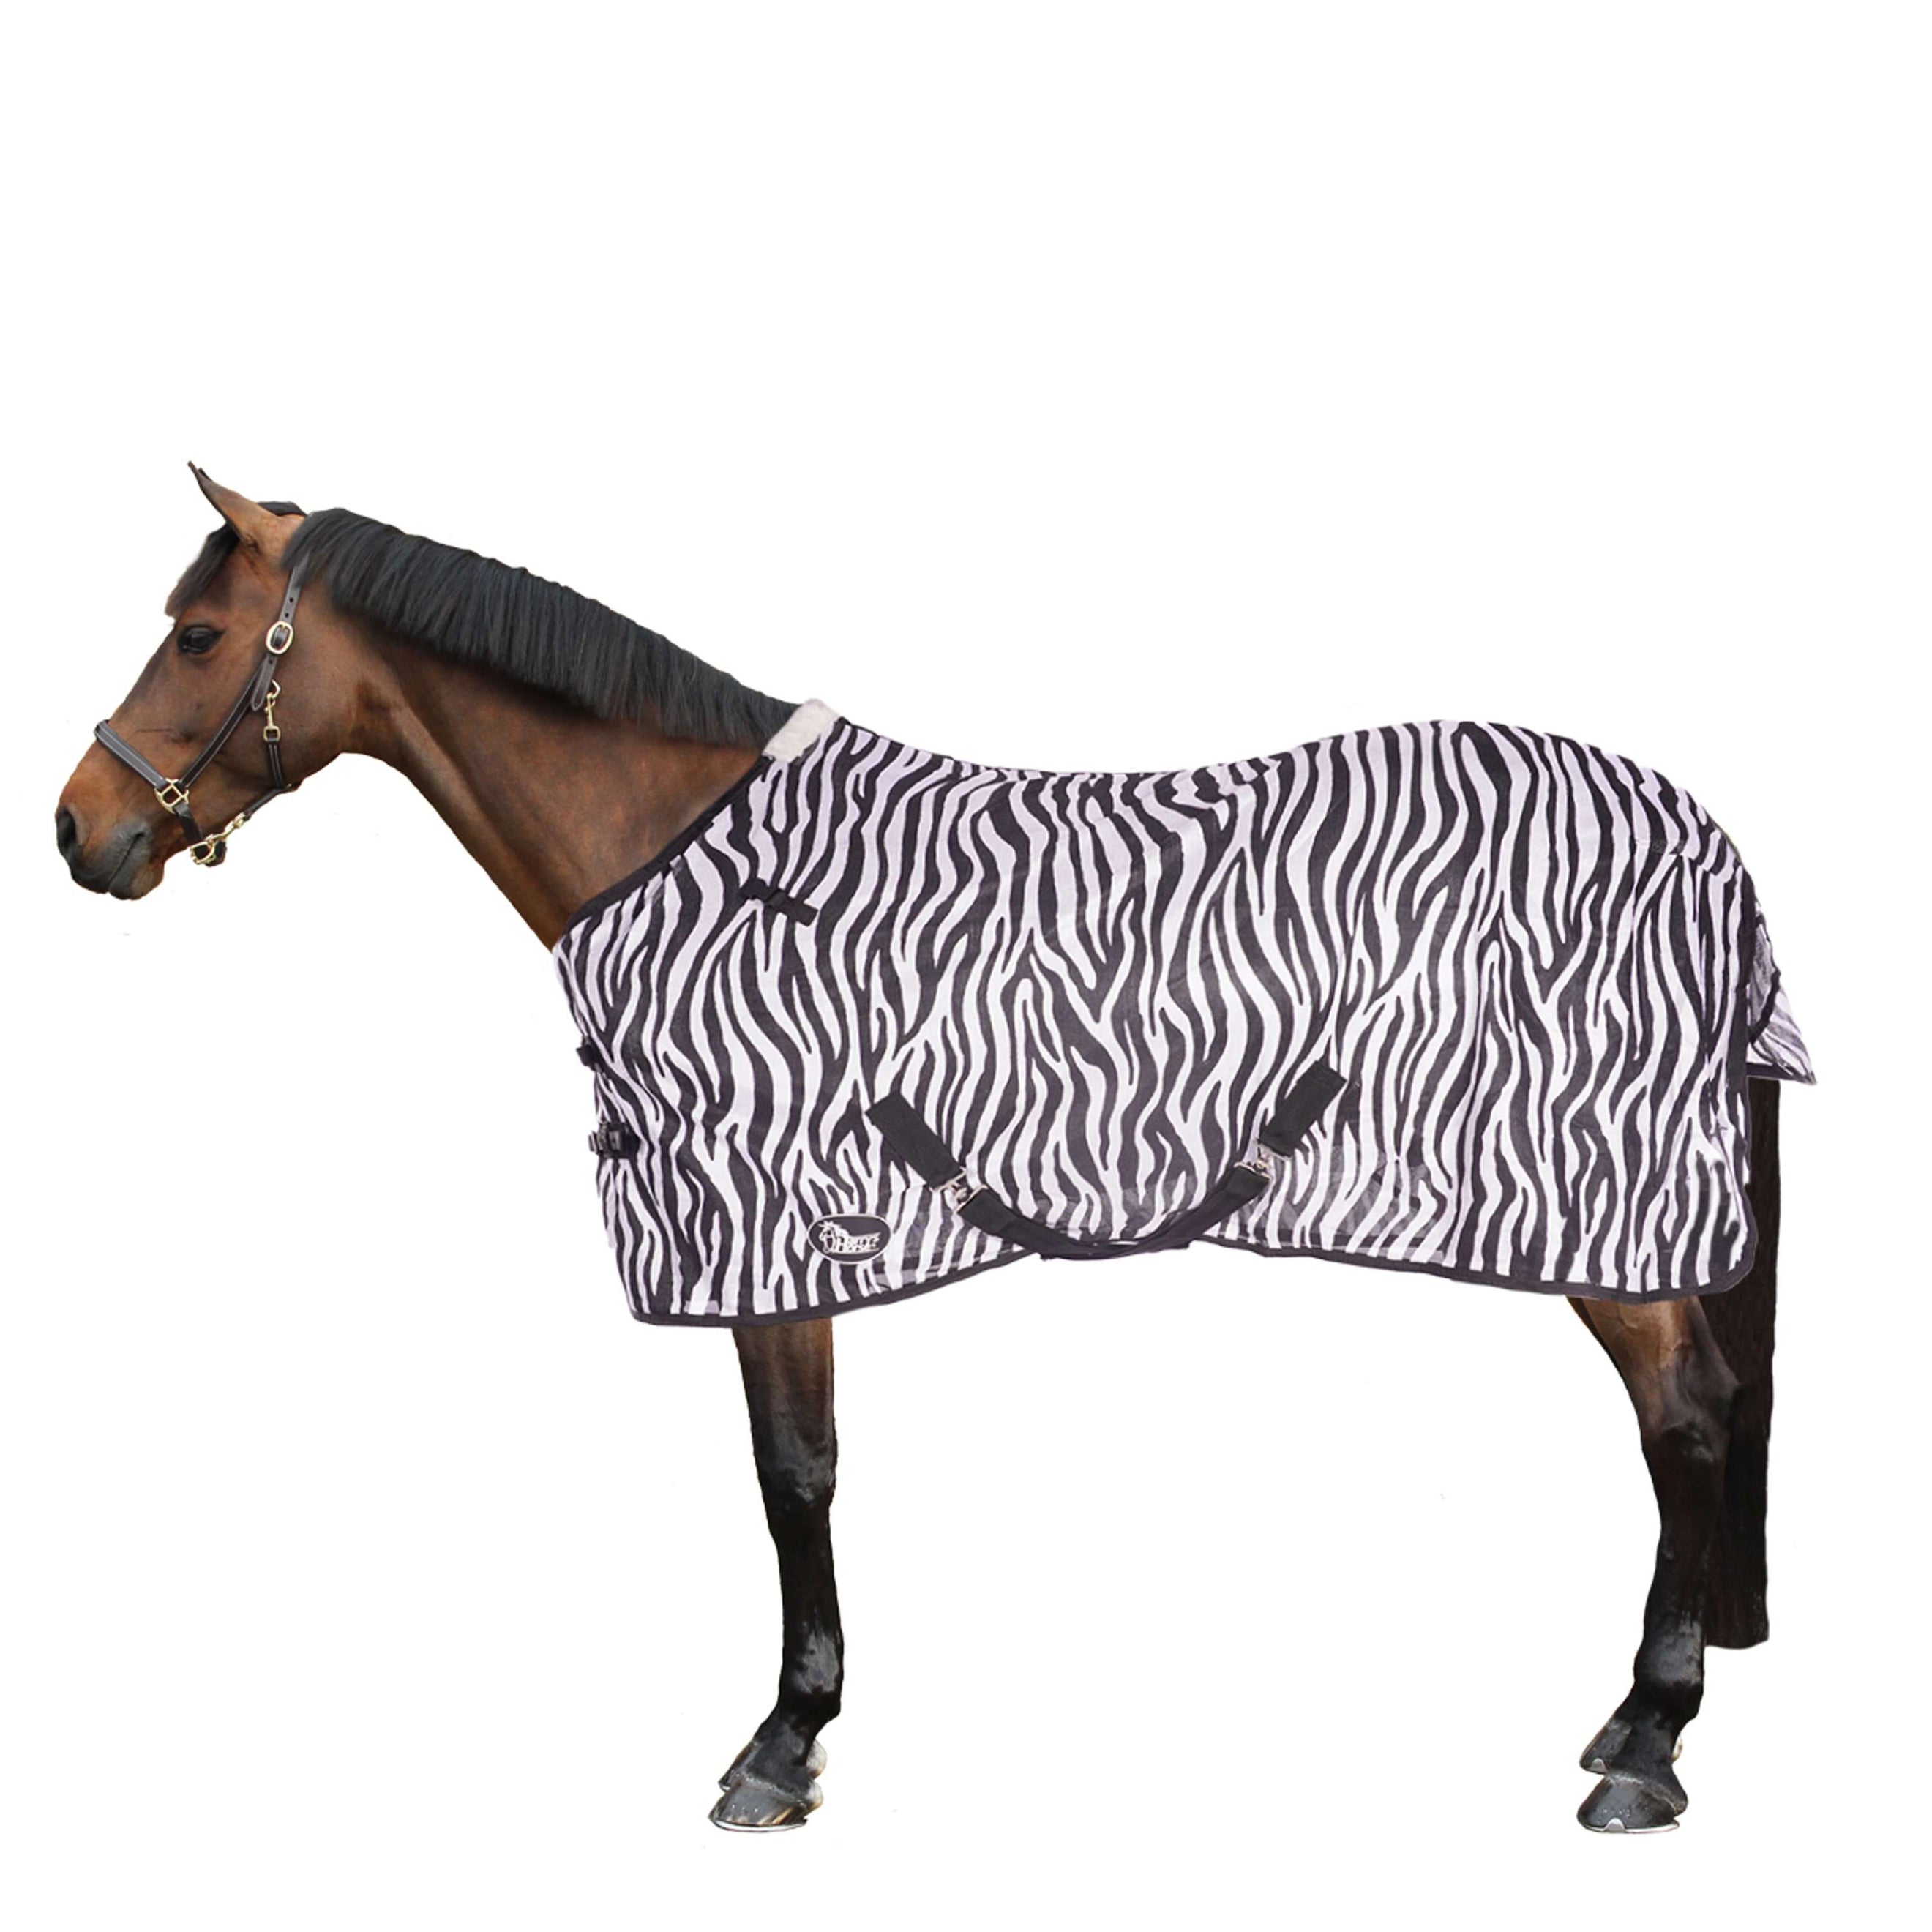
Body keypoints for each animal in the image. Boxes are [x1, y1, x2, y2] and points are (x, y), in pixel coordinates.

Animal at [56, 469, 1807, 1835]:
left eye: (199, 636)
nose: (80, 831)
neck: (693, 860)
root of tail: (1703, 841)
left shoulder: (771, 1222)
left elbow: (793, 1472)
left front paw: (781, 1745)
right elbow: (805, 1469)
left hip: (1608, 1209)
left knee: (1686, 1421)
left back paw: (1646, 1749)